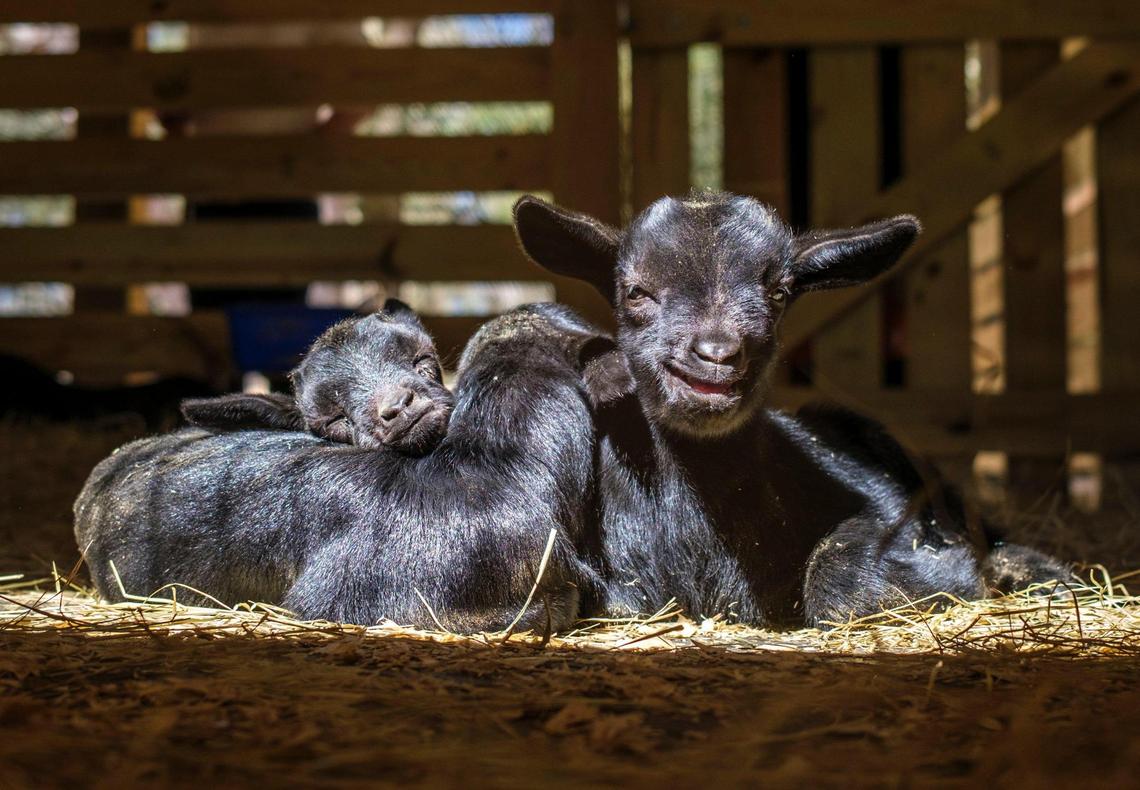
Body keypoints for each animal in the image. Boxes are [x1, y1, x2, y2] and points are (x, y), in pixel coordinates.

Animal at [514, 191, 1071, 627]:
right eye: (636, 292)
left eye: (779, 292)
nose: (717, 354)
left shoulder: (889, 516)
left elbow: (845, 584)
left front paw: (957, 571)